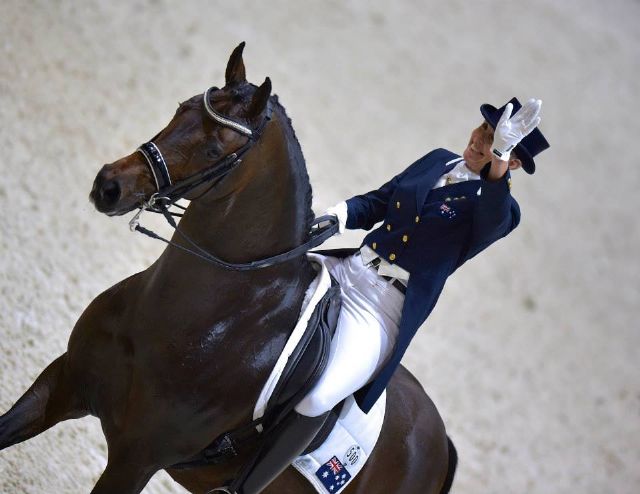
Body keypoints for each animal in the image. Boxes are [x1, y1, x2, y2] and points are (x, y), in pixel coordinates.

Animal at [0, 43, 456, 494]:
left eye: (215, 150)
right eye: (180, 108)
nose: (109, 185)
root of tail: (440, 441)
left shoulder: (134, 461)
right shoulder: (60, 384)